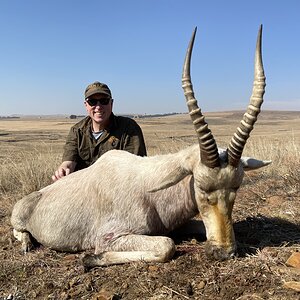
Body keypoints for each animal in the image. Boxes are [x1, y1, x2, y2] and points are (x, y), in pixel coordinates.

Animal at [11, 24, 270, 266]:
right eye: (201, 188)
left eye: (236, 187)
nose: (225, 252)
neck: (150, 187)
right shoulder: (109, 237)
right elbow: (166, 246)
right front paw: (91, 259)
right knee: (18, 230)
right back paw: (27, 243)